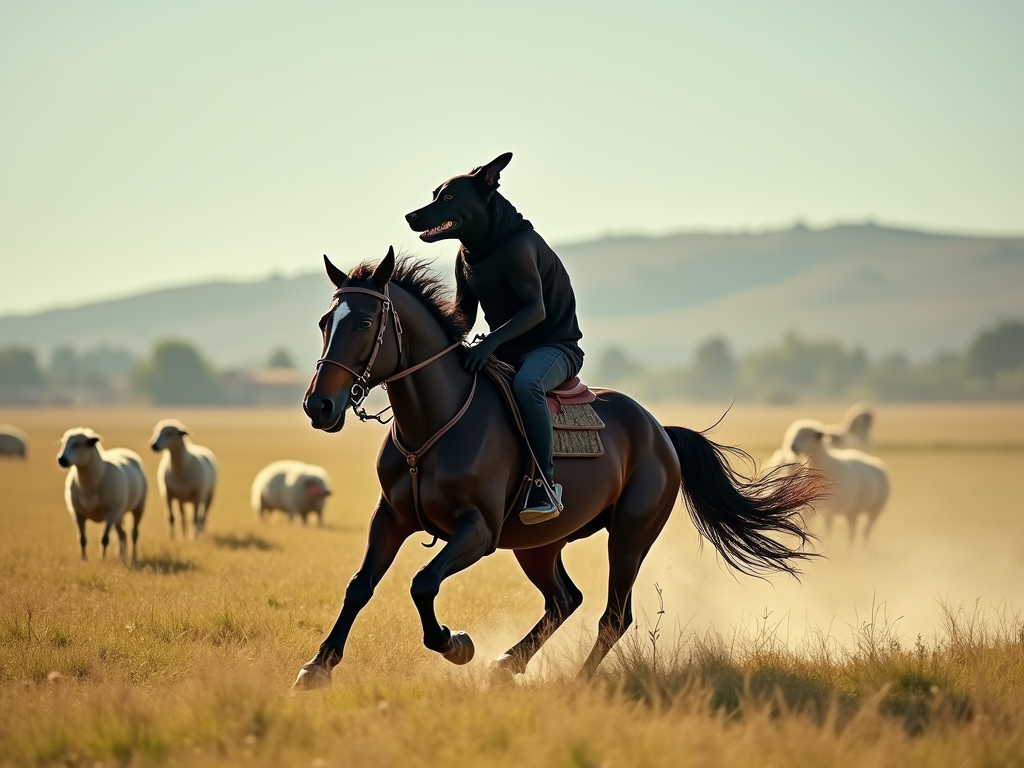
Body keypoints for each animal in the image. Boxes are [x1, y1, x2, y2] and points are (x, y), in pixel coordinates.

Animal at [57, 430, 146, 561]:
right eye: (63, 443)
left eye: (77, 444)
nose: (61, 459)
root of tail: (123, 450)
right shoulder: (78, 513)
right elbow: (82, 539)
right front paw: (83, 560)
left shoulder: (110, 512)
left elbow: (104, 539)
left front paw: (102, 560)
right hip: (119, 514)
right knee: (122, 533)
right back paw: (121, 555)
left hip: (138, 507)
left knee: (134, 533)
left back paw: (133, 557)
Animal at [296, 249, 823, 688]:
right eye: (324, 321)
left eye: (364, 322)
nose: (319, 406)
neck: (435, 423)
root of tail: (659, 431)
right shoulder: (390, 518)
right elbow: (359, 587)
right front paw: (317, 667)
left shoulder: (478, 531)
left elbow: (423, 582)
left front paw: (455, 644)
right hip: (538, 545)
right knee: (564, 600)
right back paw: (509, 663)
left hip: (629, 537)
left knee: (614, 616)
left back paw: (576, 680)